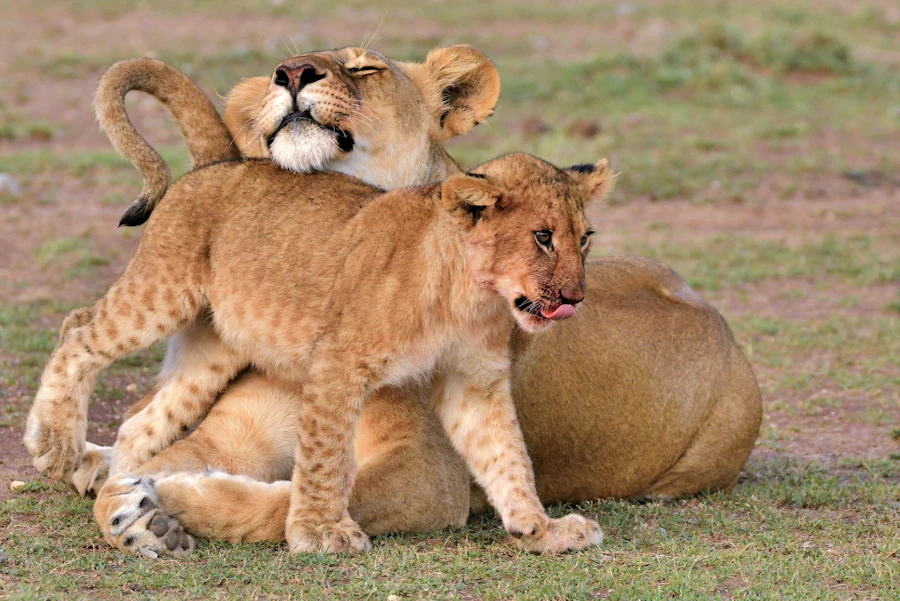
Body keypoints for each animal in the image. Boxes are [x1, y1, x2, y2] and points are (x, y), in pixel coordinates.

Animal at [31, 151, 612, 556]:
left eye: (584, 239)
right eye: (542, 237)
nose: (576, 298)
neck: (472, 297)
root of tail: (205, 170)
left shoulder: (475, 381)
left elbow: (506, 456)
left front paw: (540, 529)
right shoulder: (338, 360)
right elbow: (324, 456)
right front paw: (319, 532)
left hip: (212, 348)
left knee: (142, 422)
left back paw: (125, 495)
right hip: (161, 292)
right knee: (78, 330)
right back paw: (55, 445)